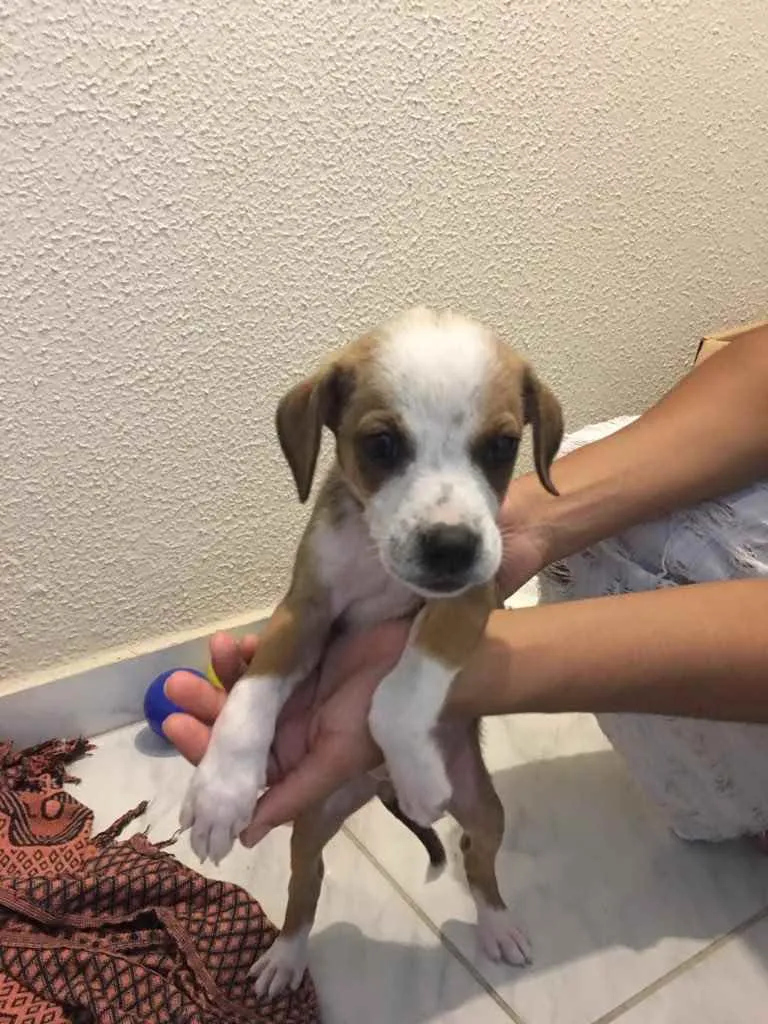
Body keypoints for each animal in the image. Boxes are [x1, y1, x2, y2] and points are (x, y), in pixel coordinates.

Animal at [180, 306, 563, 998]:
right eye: (381, 445)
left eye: (501, 447)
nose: (450, 547)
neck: (375, 555)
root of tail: (367, 785)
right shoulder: (303, 611)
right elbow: (255, 688)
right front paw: (221, 790)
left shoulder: (468, 597)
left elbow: (398, 689)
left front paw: (418, 772)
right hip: (310, 823)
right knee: (306, 887)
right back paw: (286, 955)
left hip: (484, 808)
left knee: (477, 858)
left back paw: (496, 924)